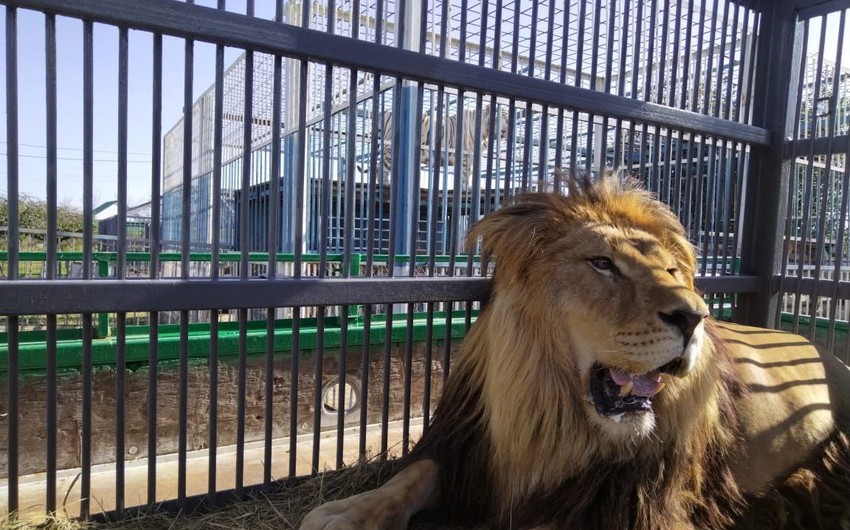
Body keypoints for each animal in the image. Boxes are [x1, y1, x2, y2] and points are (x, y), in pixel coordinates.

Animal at [300, 174, 848, 528]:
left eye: (672, 270)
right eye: (603, 264)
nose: (696, 317)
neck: (553, 411)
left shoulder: (617, 500)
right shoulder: (471, 449)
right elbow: (412, 475)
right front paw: (348, 511)